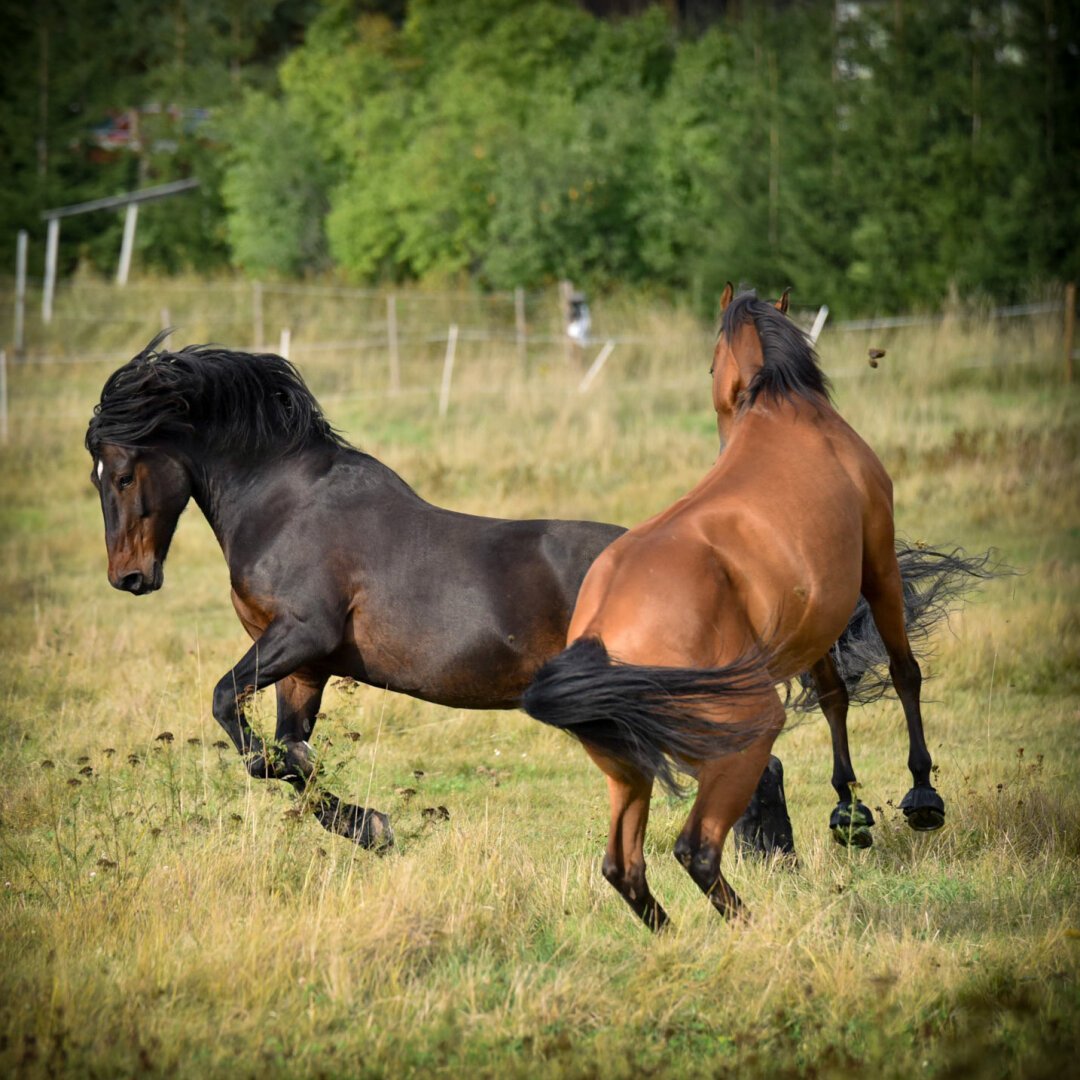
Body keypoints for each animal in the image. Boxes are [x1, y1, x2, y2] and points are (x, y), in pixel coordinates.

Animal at [86, 332, 988, 853]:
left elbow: (240, 727)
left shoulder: (299, 638)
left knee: (754, 761)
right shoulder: (306, 667)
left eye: (123, 471)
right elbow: (289, 762)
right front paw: (371, 826)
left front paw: (373, 826)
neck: (288, 502)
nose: (130, 579)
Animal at [522, 285, 994, 930]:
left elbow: (834, 698)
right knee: (695, 848)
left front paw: (849, 812)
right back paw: (752, 928)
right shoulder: (878, 570)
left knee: (624, 866)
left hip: (631, 770)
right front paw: (921, 796)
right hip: (745, 738)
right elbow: (904, 673)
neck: (785, 410)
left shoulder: (813, 621)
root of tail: (602, 637)